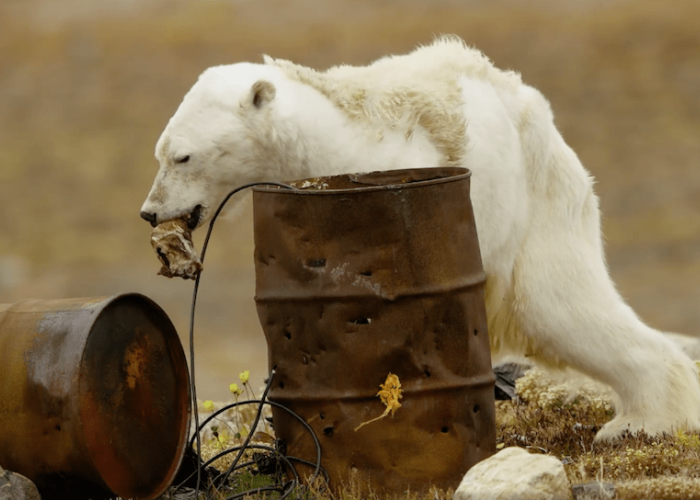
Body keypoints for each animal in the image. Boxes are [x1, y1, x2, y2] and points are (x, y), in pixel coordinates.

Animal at [139, 36, 700, 442]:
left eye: (183, 156)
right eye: (159, 152)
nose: (149, 212)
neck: (323, 141)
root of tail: (538, 115)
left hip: (534, 211)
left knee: (560, 307)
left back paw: (640, 421)